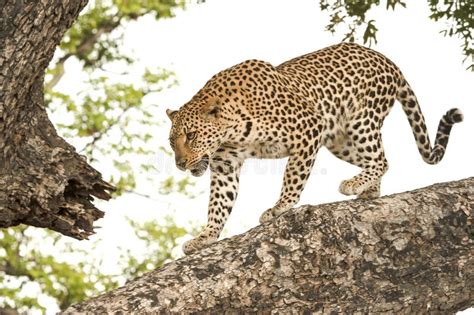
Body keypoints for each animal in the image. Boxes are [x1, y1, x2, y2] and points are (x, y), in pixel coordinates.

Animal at [166, 42, 462, 256]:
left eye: (191, 135)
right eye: (172, 142)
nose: (180, 164)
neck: (232, 128)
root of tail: (388, 61)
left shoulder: (309, 128)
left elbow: (294, 176)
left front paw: (280, 207)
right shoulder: (225, 163)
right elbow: (219, 202)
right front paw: (206, 237)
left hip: (361, 120)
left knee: (382, 160)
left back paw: (353, 184)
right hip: (340, 142)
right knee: (376, 162)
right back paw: (368, 192)